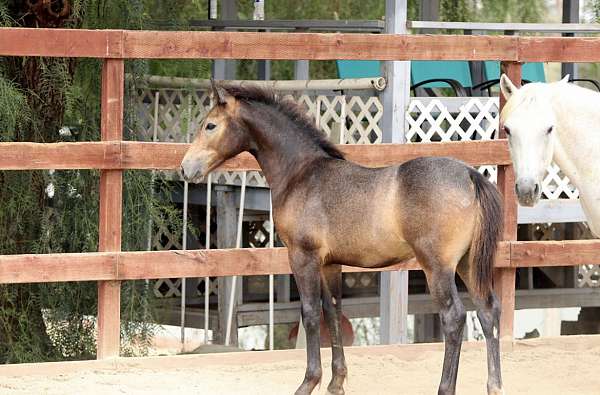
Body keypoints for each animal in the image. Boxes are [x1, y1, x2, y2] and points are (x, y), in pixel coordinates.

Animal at [180, 81, 504, 395]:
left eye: (210, 125)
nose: (185, 168)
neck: (301, 173)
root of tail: (469, 175)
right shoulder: (329, 264)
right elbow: (333, 312)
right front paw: (336, 383)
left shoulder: (303, 257)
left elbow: (310, 314)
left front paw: (308, 382)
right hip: (467, 264)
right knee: (488, 311)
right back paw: (495, 386)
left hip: (437, 267)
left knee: (454, 317)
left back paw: (445, 387)